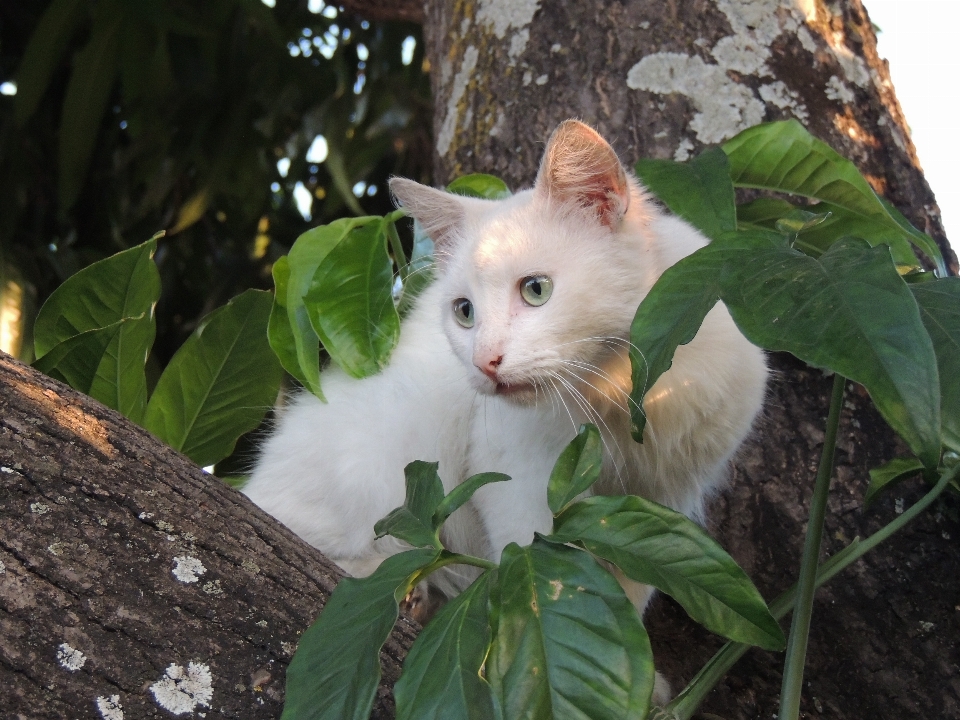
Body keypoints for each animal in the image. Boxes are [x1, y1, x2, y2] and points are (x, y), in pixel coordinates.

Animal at [244, 121, 768, 616]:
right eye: (464, 313)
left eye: (536, 290)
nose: (484, 362)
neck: (625, 393)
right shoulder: (520, 487)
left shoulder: (655, 507)